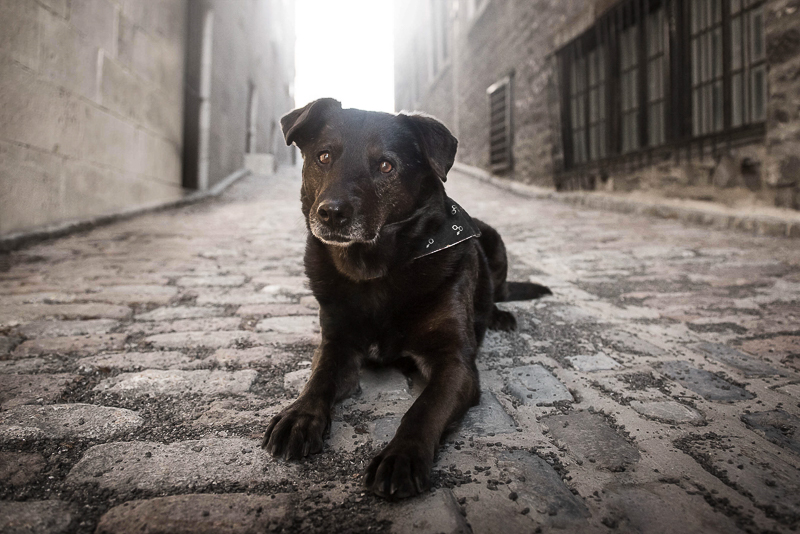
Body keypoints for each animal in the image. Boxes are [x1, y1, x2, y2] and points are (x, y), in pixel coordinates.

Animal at [262, 98, 552, 500]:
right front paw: (299, 416)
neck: (375, 271)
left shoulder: (455, 362)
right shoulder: (337, 342)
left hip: (494, 239)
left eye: (386, 165)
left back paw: (499, 316)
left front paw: (401, 456)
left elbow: (424, 408)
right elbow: (318, 378)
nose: (332, 213)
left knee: (499, 292)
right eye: (324, 157)